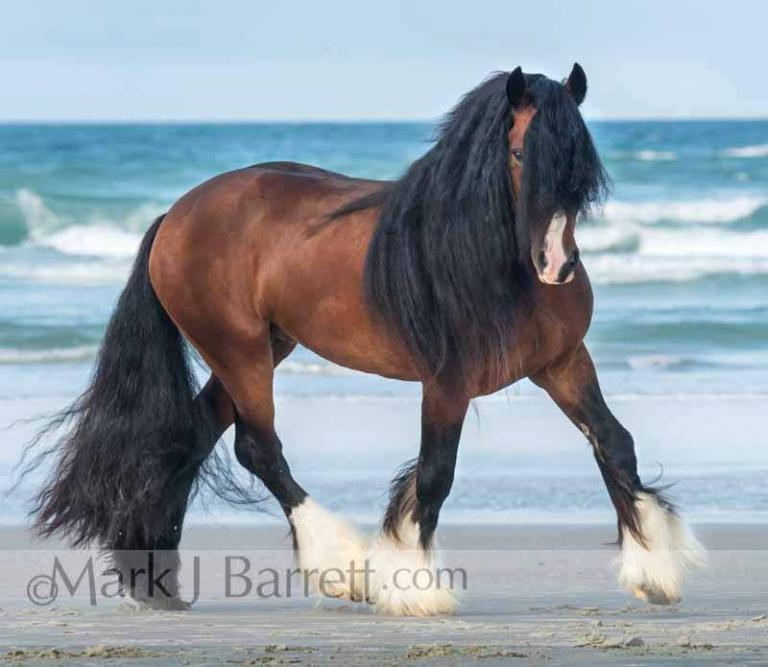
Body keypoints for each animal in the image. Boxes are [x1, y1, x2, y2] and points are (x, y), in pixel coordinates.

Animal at [29, 64, 705, 616]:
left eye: (580, 159)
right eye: (518, 153)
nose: (557, 266)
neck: (485, 257)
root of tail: (176, 214)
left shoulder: (562, 363)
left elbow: (614, 445)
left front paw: (653, 572)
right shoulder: (447, 383)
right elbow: (434, 474)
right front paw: (413, 587)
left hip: (263, 346)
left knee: (191, 436)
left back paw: (157, 585)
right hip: (239, 349)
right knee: (258, 447)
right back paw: (340, 569)